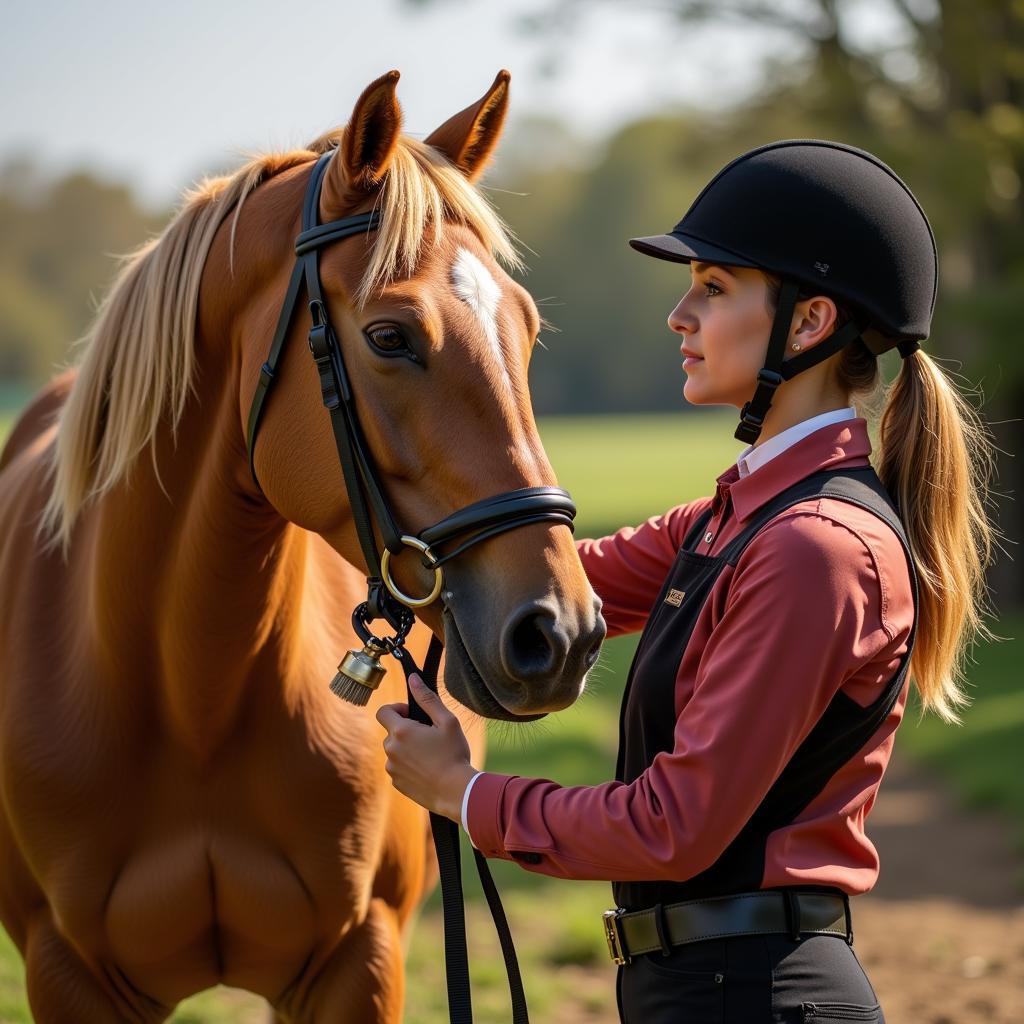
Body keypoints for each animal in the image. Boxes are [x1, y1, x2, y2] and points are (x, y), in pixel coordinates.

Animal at [0, 68, 602, 1019]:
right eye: (390, 335)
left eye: (528, 329)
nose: (563, 633)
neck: (191, 701)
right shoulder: (68, 975)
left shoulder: (356, 964)